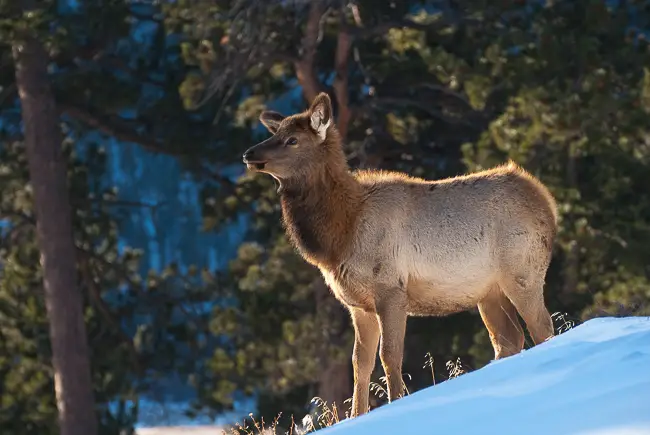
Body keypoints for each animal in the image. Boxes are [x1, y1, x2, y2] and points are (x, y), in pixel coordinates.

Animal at [242, 92, 557, 417]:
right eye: (274, 133)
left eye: (292, 140)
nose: (249, 153)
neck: (340, 235)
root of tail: (547, 203)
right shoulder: (359, 305)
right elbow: (360, 363)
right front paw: (356, 415)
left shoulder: (390, 289)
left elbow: (390, 355)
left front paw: (395, 402)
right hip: (489, 292)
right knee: (509, 339)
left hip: (522, 272)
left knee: (542, 327)